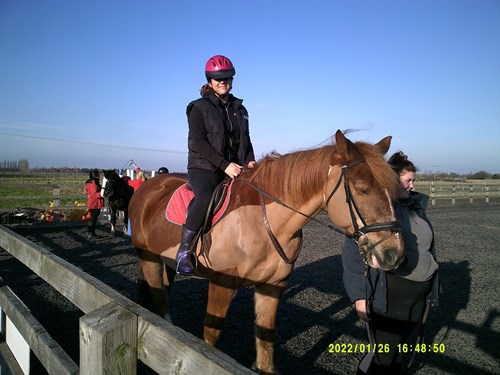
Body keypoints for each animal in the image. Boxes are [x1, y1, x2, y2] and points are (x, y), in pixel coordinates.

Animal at [127, 131, 404, 374]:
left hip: (165, 261)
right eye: (362, 188)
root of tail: (147, 188)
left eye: (393, 190)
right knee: (160, 299)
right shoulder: (223, 282)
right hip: (149, 258)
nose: (395, 254)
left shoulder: (274, 285)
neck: (263, 222)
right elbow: (211, 334)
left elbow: (265, 337)